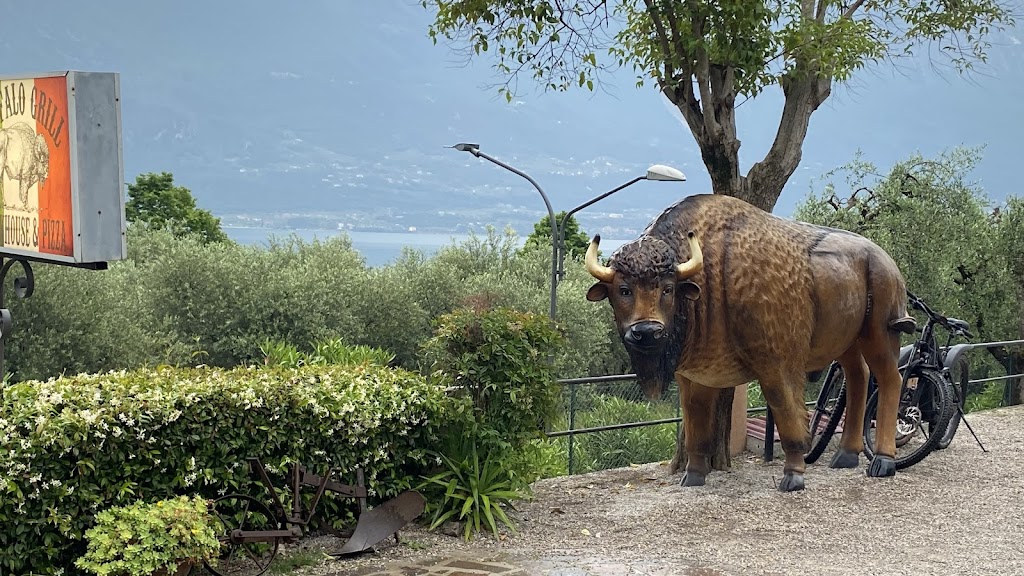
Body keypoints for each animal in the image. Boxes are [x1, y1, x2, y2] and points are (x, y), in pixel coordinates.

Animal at [585, 193, 915, 491]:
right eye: (623, 290)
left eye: (668, 288)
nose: (647, 331)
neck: (709, 274)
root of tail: (884, 259)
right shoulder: (694, 375)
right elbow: (695, 424)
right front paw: (692, 476)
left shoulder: (777, 366)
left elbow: (788, 416)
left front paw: (793, 477)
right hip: (847, 342)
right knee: (859, 378)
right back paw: (845, 457)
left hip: (881, 333)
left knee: (889, 379)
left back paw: (882, 462)